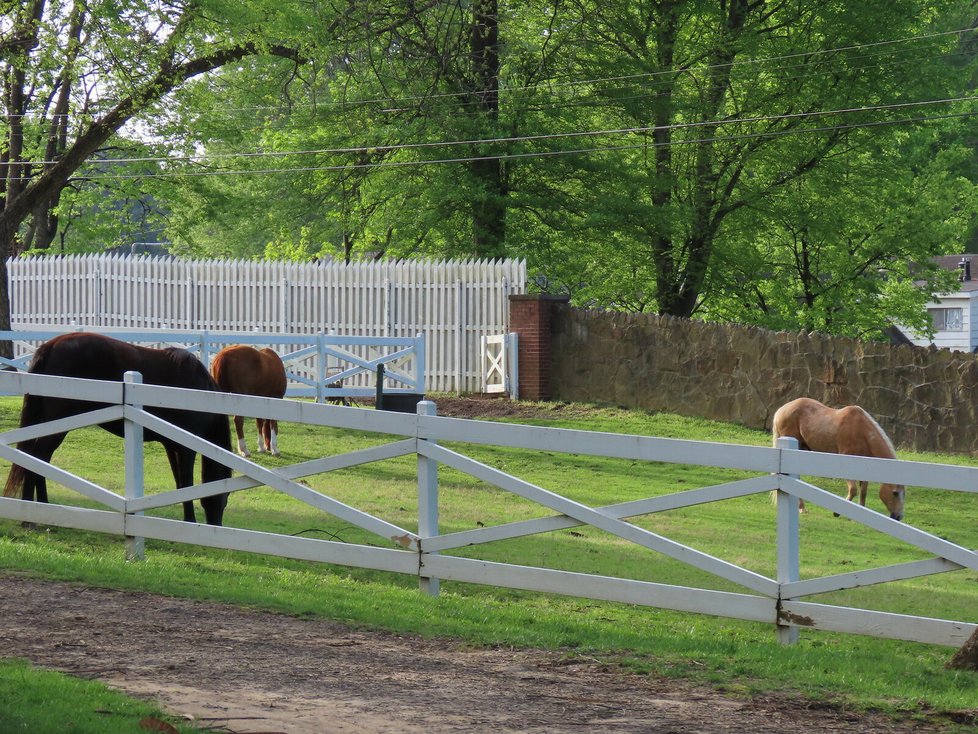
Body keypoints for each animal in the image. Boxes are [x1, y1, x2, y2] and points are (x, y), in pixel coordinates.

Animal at [1, 330, 233, 528]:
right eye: (226, 495)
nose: (217, 524)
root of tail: (51, 345)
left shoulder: (171, 445)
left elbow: (179, 483)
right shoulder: (186, 449)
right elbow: (186, 484)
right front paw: (190, 522)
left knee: (39, 459)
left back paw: (41, 508)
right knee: (38, 456)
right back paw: (31, 517)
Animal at [772, 396, 904, 524]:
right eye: (895, 493)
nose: (898, 516)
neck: (861, 431)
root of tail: (781, 410)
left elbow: (863, 492)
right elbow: (853, 490)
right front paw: (837, 512)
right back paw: (801, 508)